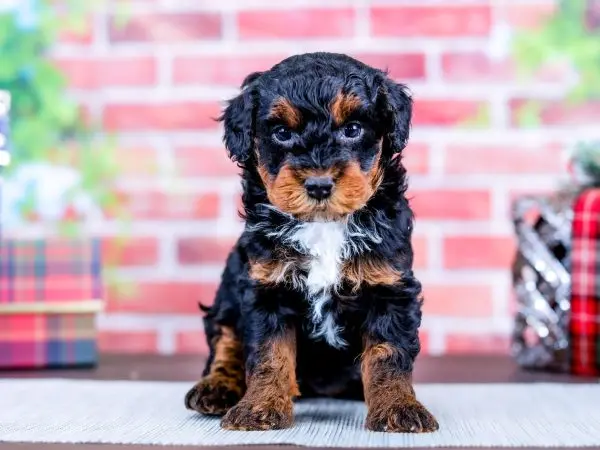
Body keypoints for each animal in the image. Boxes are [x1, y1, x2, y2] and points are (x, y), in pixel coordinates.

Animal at [185, 51, 438, 432]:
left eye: (352, 129)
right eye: (282, 133)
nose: (319, 184)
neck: (324, 226)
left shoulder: (390, 286)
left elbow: (388, 353)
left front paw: (399, 407)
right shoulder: (266, 287)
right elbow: (268, 353)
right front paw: (259, 408)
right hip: (230, 284)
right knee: (225, 336)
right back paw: (215, 387)